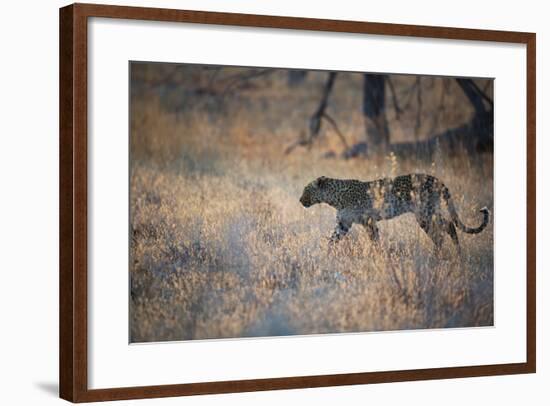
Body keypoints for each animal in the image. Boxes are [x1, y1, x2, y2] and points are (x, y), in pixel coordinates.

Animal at [302, 173, 492, 252]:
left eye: (306, 190)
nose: (300, 200)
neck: (334, 199)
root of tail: (436, 179)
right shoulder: (343, 224)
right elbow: (332, 240)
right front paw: (326, 256)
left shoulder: (368, 222)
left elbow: (374, 241)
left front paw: (377, 256)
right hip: (428, 213)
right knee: (447, 227)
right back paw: (453, 254)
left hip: (424, 213)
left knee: (442, 231)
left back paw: (440, 255)